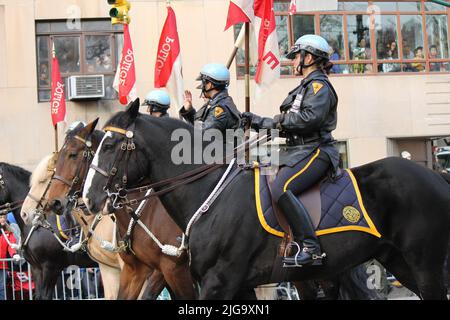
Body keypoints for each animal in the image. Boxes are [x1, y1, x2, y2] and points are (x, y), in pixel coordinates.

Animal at [82, 100, 450, 300]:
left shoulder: (218, 280)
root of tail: (436, 175)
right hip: (395, 261)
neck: (210, 193)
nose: (87, 199)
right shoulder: (232, 284)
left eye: (110, 146)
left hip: (424, 264)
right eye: (94, 147)